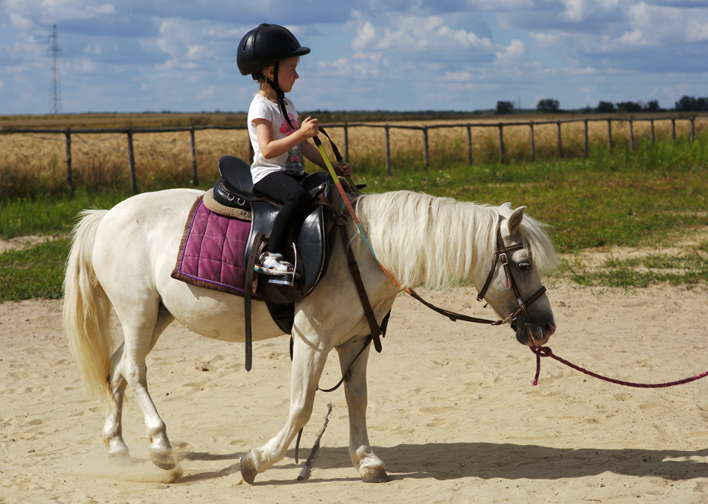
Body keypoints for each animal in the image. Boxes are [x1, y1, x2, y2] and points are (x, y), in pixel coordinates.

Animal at [62, 187, 560, 482]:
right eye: (522, 264)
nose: (547, 325)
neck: (363, 251)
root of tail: (107, 215)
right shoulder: (312, 339)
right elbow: (302, 407)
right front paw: (256, 461)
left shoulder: (355, 341)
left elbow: (357, 399)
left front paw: (367, 460)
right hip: (138, 311)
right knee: (134, 370)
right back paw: (162, 450)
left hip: (156, 316)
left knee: (118, 371)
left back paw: (118, 446)